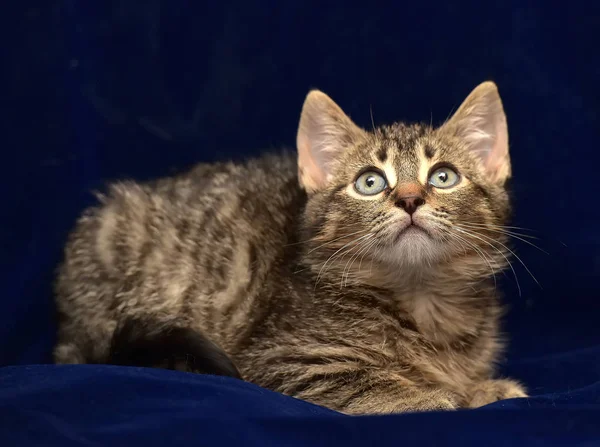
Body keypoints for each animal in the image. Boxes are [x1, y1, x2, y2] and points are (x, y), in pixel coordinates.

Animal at [55, 82, 524, 414]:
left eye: (443, 176)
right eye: (370, 182)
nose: (410, 199)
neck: (421, 298)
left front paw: (483, 387)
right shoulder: (280, 357)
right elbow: (362, 380)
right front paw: (431, 394)